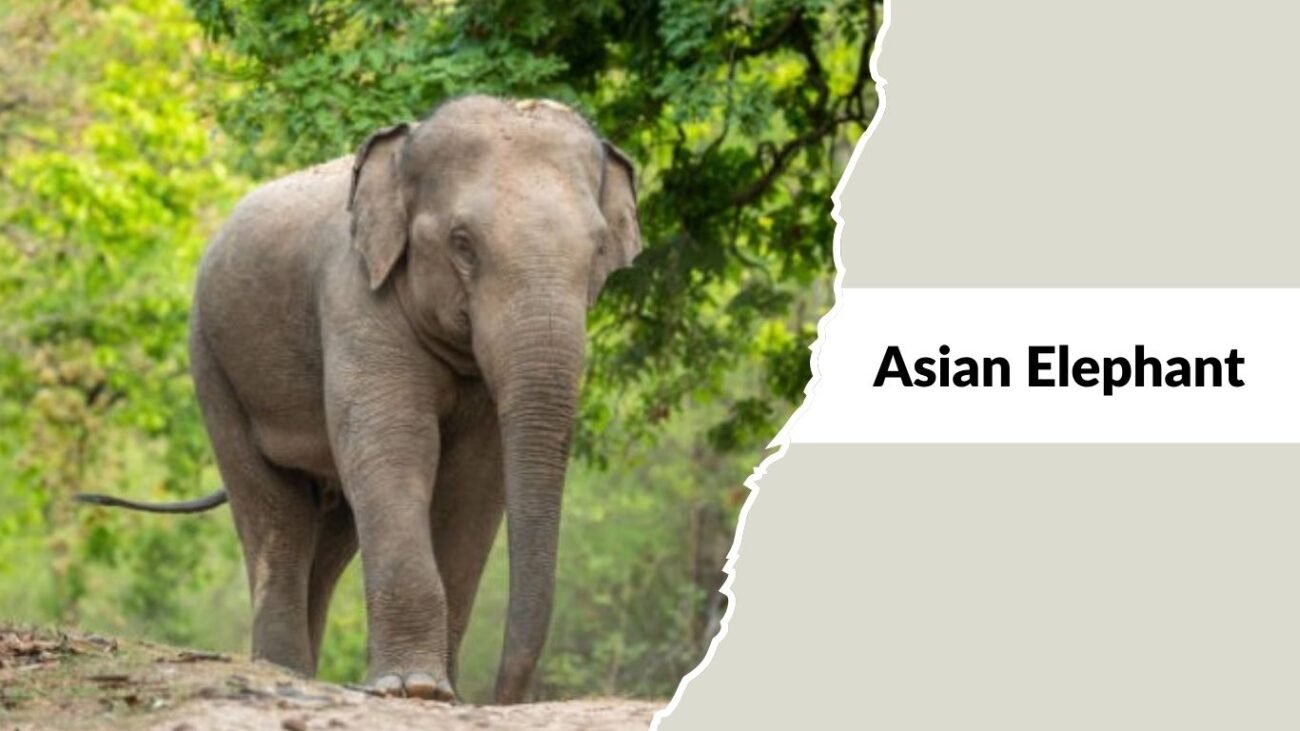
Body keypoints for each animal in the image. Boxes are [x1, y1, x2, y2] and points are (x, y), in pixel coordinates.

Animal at [76, 95, 641, 703]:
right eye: (462, 244)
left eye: (598, 249)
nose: (498, 698)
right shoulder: (354, 298)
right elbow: (396, 446)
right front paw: (414, 689)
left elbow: (475, 479)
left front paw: (440, 694)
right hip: (211, 363)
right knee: (275, 515)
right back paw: (283, 671)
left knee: (331, 534)